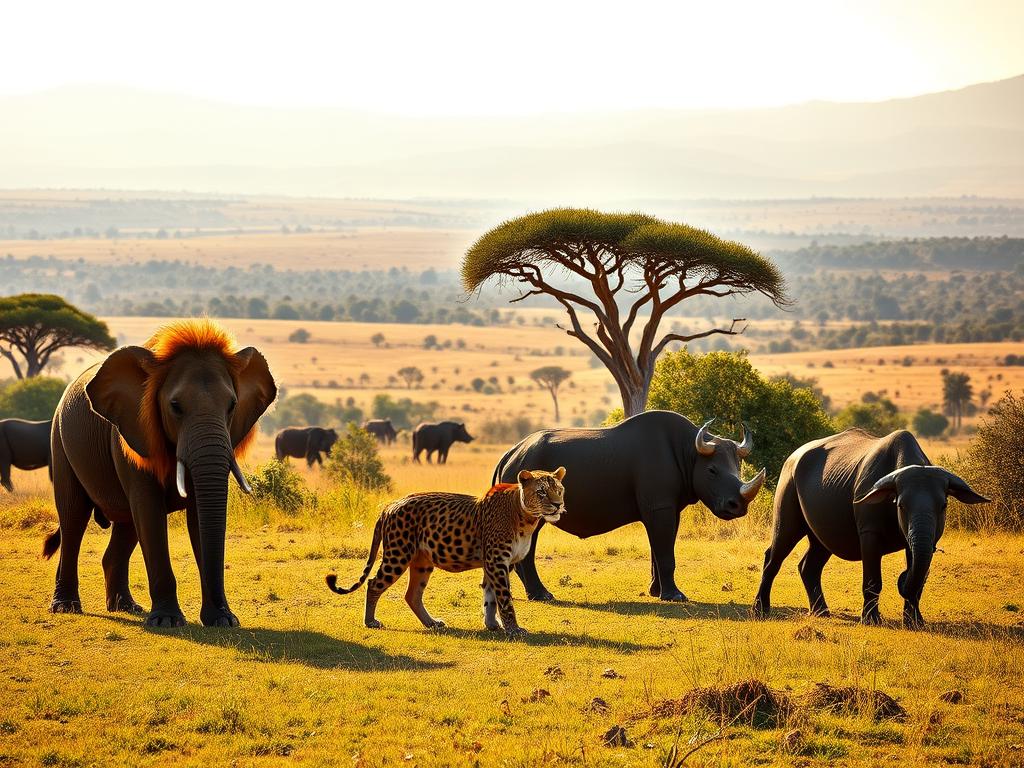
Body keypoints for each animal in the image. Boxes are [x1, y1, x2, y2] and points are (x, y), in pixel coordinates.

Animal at [43, 319, 277, 627]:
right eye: (175, 406)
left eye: (232, 406)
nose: (230, 618)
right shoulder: (132, 434)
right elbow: (149, 511)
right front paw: (168, 621)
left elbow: (197, 516)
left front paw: (221, 620)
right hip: (60, 444)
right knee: (73, 518)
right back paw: (66, 607)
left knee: (127, 525)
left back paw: (126, 607)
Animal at [492, 411, 766, 601]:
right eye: (711, 471)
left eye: (738, 469)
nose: (737, 506)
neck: (690, 451)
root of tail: (510, 453)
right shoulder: (660, 507)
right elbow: (665, 552)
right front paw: (675, 596)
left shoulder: (665, 507)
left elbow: (660, 549)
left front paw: (656, 592)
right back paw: (542, 595)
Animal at [752, 429, 988, 628]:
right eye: (900, 505)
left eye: (944, 506)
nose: (902, 578)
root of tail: (793, 455)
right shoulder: (869, 531)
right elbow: (874, 578)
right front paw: (871, 621)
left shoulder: (922, 536)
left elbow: (919, 568)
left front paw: (915, 623)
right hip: (788, 479)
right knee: (782, 541)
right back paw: (761, 611)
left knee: (819, 548)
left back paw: (821, 613)